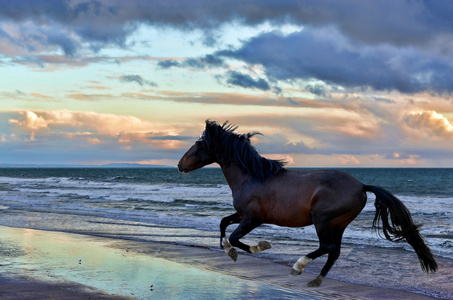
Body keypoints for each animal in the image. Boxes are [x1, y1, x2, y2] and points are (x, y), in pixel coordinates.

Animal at [178, 120, 436, 288]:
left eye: (198, 145)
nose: (180, 165)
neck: (252, 177)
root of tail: (361, 185)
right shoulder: (242, 215)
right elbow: (223, 224)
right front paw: (231, 250)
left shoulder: (253, 218)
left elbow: (234, 236)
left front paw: (255, 247)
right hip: (339, 224)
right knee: (335, 251)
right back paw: (316, 279)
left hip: (322, 220)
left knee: (327, 247)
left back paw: (298, 266)